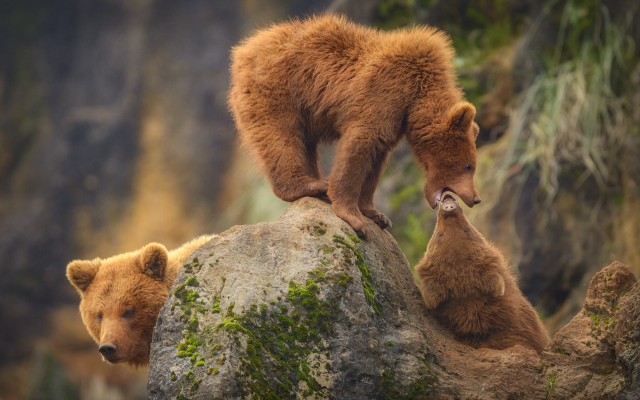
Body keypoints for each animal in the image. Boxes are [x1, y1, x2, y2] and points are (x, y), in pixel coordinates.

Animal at [228, 14, 481, 238]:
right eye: (469, 165)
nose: (476, 198)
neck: (418, 94)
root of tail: (245, 48)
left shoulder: (396, 119)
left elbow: (377, 158)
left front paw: (376, 214)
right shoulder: (385, 92)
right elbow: (359, 145)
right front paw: (354, 217)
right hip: (279, 89)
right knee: (282, 138)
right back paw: (310, 185)